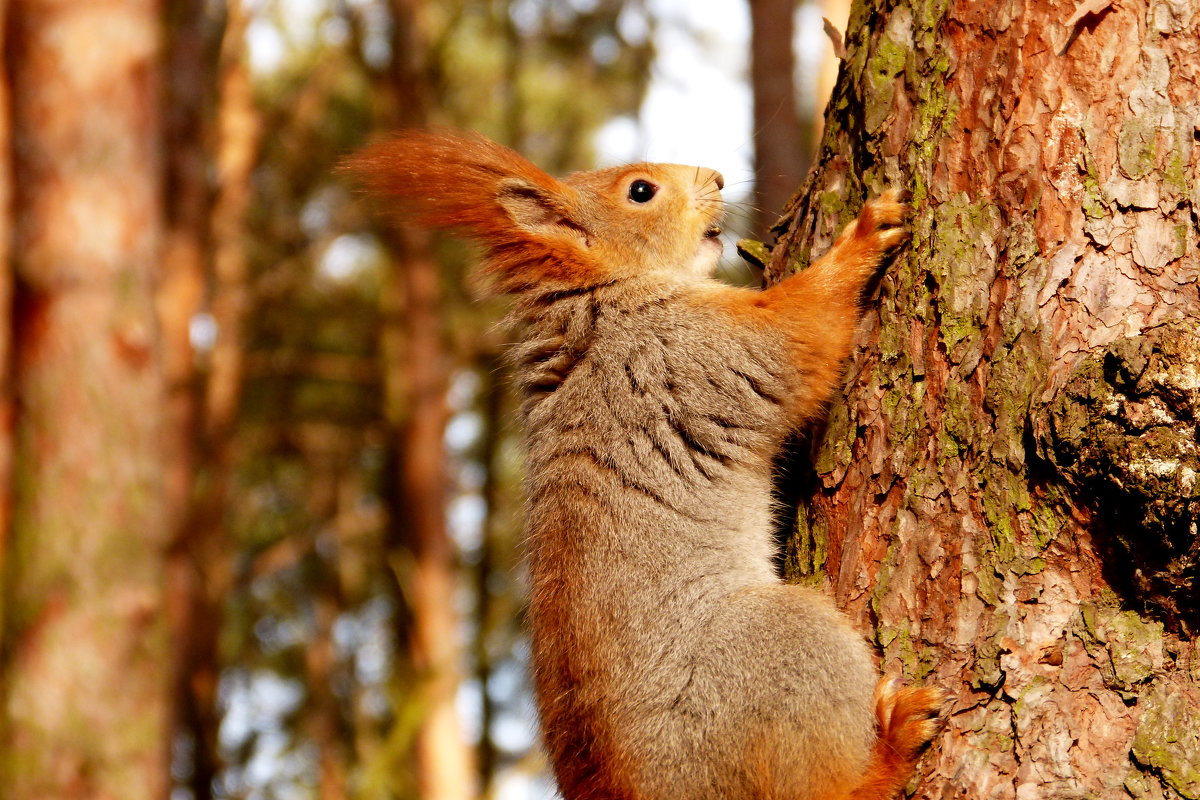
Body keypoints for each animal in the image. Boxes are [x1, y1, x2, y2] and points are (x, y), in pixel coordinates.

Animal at [345, 131, 945, 800]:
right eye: (640, 191)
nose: (716, 177)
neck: (601, 296)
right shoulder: (688, 347)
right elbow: (796, 332)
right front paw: (863, 235)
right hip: (779, 647)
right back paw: (892, 747)